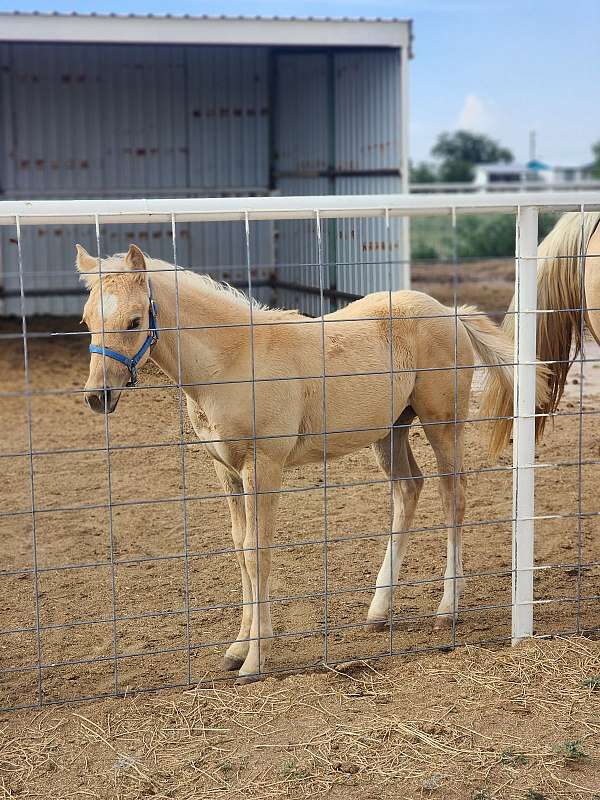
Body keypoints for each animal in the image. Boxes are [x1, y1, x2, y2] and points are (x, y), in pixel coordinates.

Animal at [76, 243, 545, 683]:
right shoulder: (226, 469)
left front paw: (255, 661)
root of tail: (450, 312)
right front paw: (236, 648)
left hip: (443, 422)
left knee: (454, 497)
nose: (98, 396)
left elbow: (257, 552)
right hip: (391, 431)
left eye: (135, 320)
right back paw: (379, 610)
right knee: (409, 489)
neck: (232, 360)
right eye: (86, 321)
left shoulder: (264, 467)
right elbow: (240, 549)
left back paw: (447, 609)